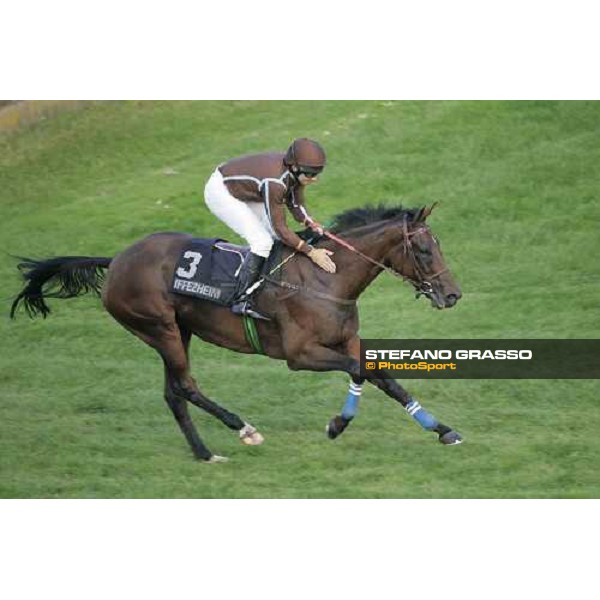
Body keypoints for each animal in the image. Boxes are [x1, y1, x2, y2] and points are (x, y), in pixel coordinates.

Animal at [11, 204, 466, 462]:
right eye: (423, 249)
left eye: (439, 245)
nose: (452, 294)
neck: (327, 277)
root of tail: (118, 259)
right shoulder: (300, 355)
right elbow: (360, 371)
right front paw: (337, 424)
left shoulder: (345, 339)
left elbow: (381, 377)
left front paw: (442, 429)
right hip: (159, 327)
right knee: (187, 386)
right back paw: (243, 429)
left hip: (177, 329)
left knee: (172, 393)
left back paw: (203, 453)